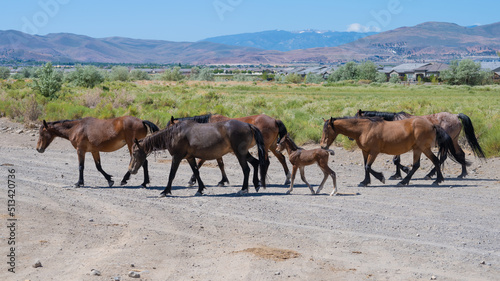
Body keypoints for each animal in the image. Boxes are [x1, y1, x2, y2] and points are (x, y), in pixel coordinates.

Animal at [129, 119, 270, 196]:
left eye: (134, 153)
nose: (131, 170)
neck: (174, 134)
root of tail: (248, 125)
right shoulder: (189, 157)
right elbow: (196, 172)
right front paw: (200, 189)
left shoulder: (177, 157)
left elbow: (172, 175)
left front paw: (165, 191)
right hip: (244, 153)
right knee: (256, 163)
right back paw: (256, 185)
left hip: (240, 153)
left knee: (246, 169)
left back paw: (244, 189)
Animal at [320, 115, 468, 186]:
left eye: (327, 129)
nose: (322, 146)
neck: (364, 129)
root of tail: (432, 125)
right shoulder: (365, 151)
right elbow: (365, 167)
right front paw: (365, 182)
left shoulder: (374, 152)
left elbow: (368, 166)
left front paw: (381, 178)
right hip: (420, 149)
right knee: (428, 163)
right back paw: (436, 180)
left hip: (422, 148)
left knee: (423, 164)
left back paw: (406, 181)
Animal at [356, 108, 484, 178]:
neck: (394, 122)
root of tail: (455, 116)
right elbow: (396, 160)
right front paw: (398, 175)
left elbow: (396, 160)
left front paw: (404, 171)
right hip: (454, 141)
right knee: (461, 154)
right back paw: (462, 174)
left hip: (448, 142)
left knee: (443, 157)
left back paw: (430, 175)